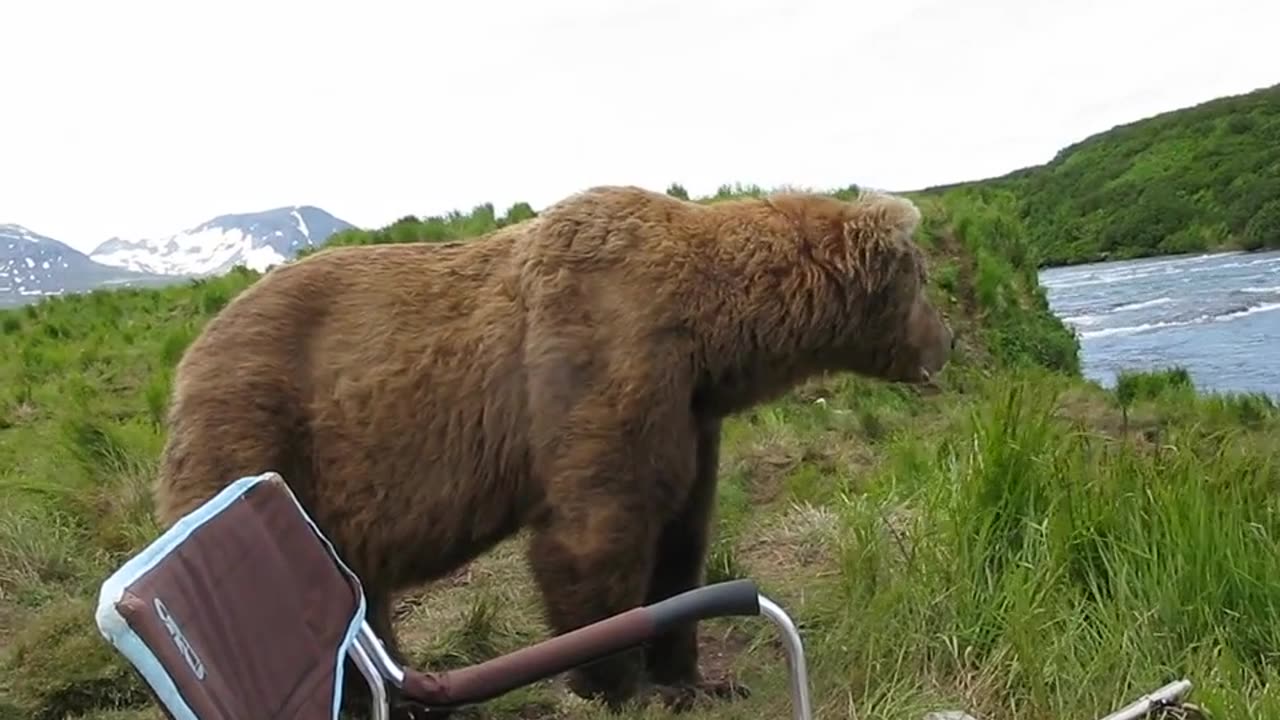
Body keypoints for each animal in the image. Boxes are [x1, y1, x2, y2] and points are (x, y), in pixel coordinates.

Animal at [152, 183, 952, 712]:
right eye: (922, 279)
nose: (946, 341)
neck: (710, 329)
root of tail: (188, 356)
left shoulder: (690, 411)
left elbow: (682, 536)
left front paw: (696, 676)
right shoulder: (600, 356)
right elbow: (597, 532)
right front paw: (613, 682)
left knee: (360, 598)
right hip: (260, 433)